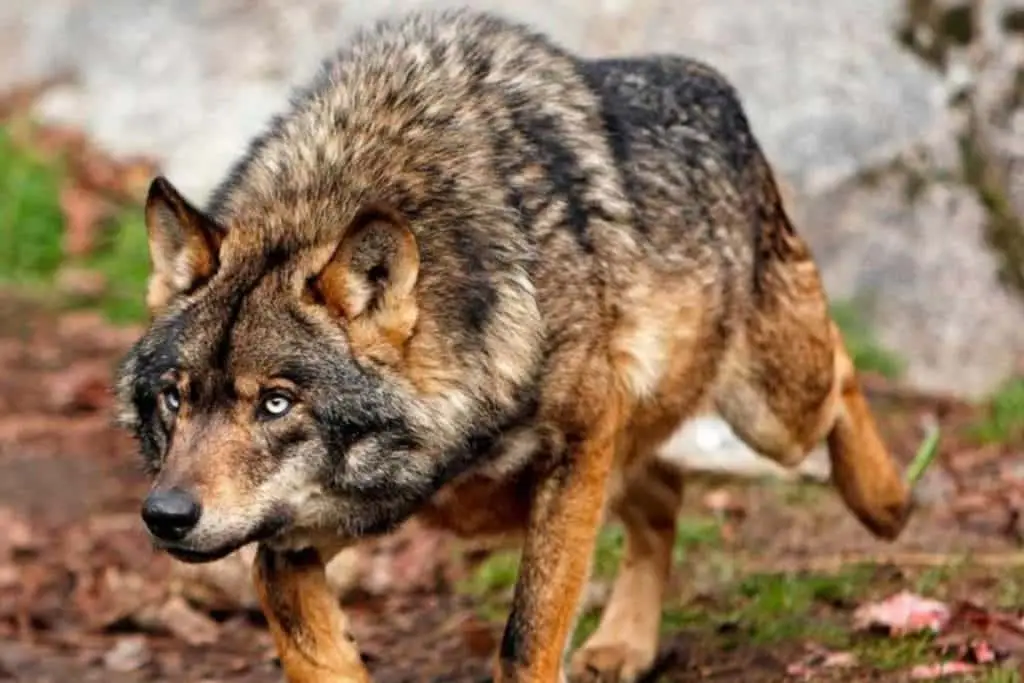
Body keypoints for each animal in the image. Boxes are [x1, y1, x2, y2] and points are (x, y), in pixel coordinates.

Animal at [115, 8, 912, 683]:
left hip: (768, 411)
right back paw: (624, 644)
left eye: (276, 403)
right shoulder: (304, 531)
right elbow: (312, 648)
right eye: (174, 398)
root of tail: (707, 80)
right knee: (663, 490)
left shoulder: (578, 445)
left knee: (840, 371)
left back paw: (888, 502)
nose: (167, 515)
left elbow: (527, 633)